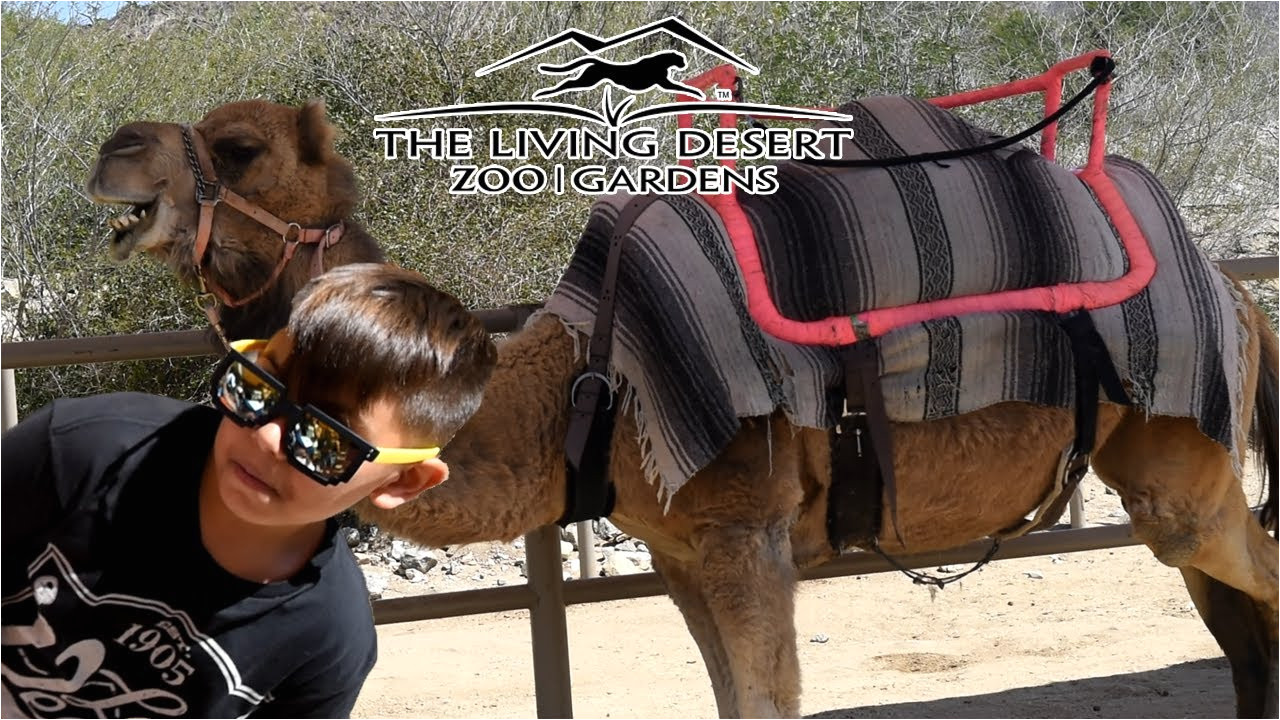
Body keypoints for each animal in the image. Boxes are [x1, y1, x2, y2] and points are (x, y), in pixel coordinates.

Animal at [85, 101, 1274, 717]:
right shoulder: (678, 549)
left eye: (239, 149)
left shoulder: (746, 530)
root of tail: (1230, 283)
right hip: (1169, 471)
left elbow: (769, 698)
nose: (114, 151)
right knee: (1233, 608)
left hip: (1180, 451)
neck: (582, 383)